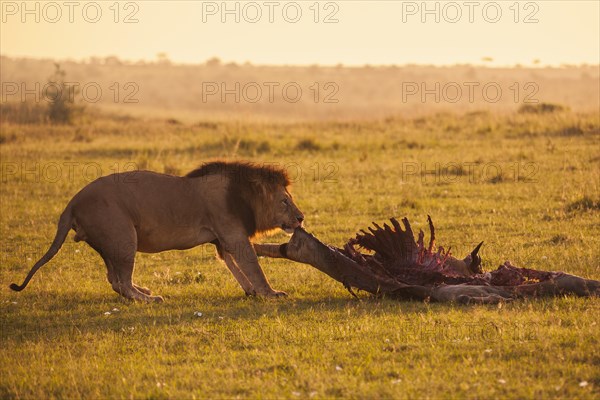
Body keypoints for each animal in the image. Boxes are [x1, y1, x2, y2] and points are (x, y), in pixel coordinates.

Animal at [10, 161, 304, 302]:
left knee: (114, 279)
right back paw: (148, 299)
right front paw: (270, 293)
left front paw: (251, 291)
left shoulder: (223, 238)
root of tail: (73, 201)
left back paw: (142, 291)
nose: (301, 218)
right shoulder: (233, 234)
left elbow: (234, 265)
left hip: (110, 243)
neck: (244, 195)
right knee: (122, 282)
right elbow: (253, 265)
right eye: (284, 202)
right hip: (123, 236)